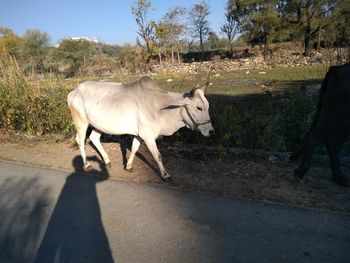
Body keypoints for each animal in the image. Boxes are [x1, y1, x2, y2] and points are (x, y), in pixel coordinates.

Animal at [66, 75, 213, 180]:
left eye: (207, 106)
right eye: (199, 107)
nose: (211, 131)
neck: (159, 106)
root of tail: (74, 91)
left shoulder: (140, 135)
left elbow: (134, 149)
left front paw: (128, 166)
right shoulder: (148, 136)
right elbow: (157, 155)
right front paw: (165, 175)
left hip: (98, 125)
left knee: (94, 138)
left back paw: (107, 161)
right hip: (81, 122)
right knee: (81, 140)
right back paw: (86, 164)